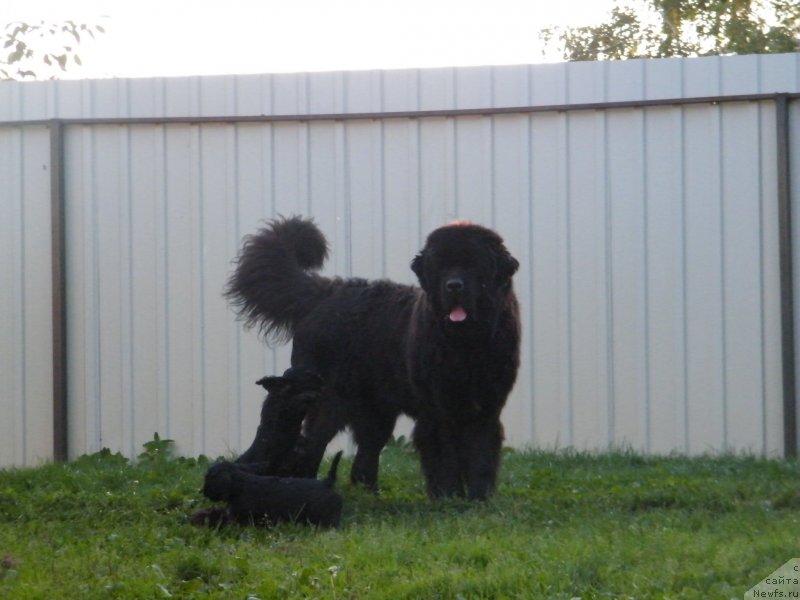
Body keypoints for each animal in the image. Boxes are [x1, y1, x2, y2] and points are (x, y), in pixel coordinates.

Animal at [227, 214, 524, 496]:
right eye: (441, 265)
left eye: (475, 265)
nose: (453, 285)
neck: (467, 345)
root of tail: (326, 292)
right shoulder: (437, 410)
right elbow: (445, 457)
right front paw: (449, 496)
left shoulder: (486, 407)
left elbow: (481, 456)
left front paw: (479, 498)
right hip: (326, 400)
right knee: (312, 444)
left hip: (376, 409)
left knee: (366, 454)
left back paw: (370, 492)